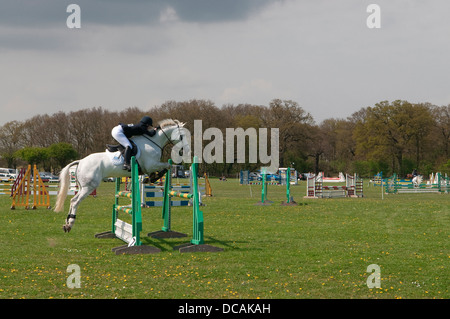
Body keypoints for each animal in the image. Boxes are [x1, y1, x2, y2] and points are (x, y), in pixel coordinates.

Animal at [54, 119, 190, 232]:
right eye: (182, 136)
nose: (186, 150)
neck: (154, 142)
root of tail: (81, 161)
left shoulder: (149, 167)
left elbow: (164, 168)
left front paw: (149, 178)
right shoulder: (151, 164)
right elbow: (167, 166)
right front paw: (152, 178)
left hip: (83, 186)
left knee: (72, 201)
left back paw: (67, 223)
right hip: (89, 187)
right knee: (75, 201)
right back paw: (70, 223)